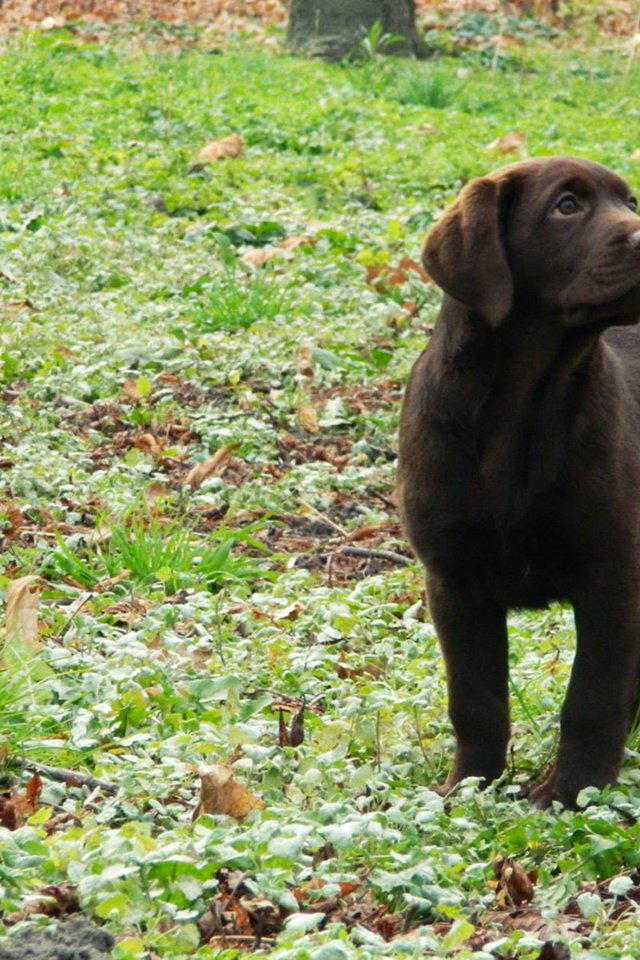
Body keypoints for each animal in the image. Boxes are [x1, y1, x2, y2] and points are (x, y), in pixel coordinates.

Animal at [398, 159, 640, 808]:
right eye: (566, 207)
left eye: (630, 201)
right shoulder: (454, 583)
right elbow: (475, 700)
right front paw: (468, 787)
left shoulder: (614, 578)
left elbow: (593, 698)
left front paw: (573, 793)